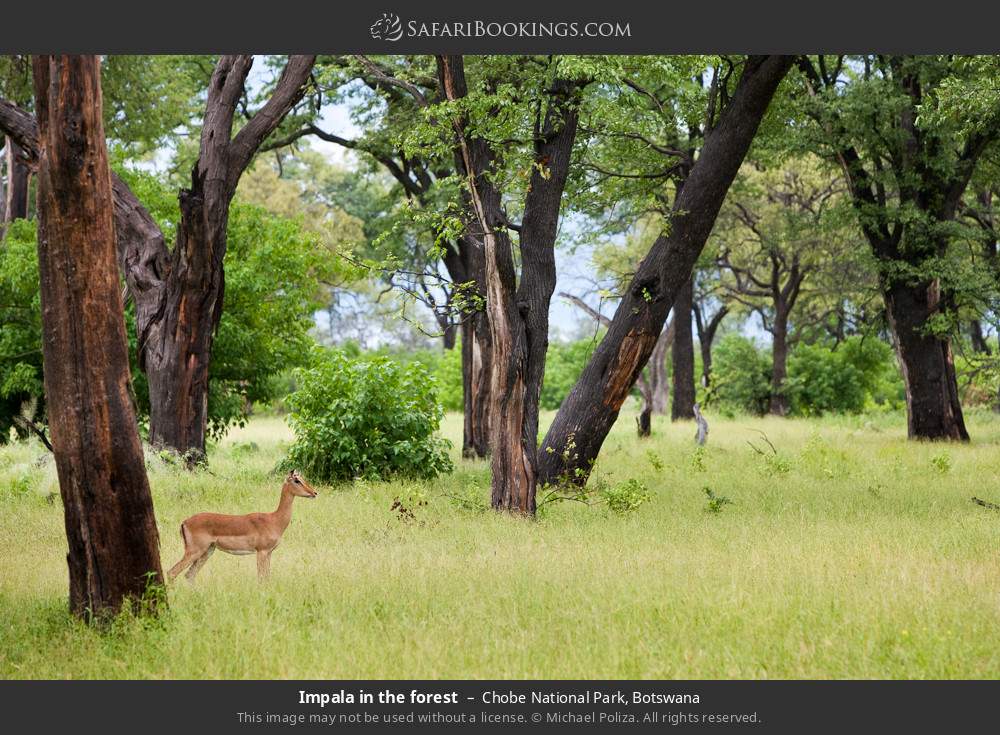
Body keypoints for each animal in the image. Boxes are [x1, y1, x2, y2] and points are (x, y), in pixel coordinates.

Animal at [167, 470, 318, 582]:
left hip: (207, 551)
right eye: (297, 480)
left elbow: (267, 578)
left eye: (303, 478)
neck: (274, 520)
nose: (314, 493)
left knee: (189, 575)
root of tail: (184, 522)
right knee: (172, 572)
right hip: (194, 551)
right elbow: (261, 578)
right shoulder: (261, 552)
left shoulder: (269, 553)